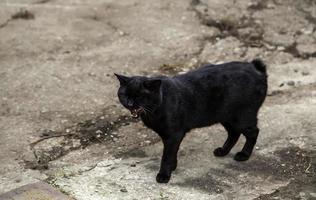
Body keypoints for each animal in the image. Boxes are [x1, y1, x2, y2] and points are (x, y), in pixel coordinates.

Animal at [115, 59, 268, 183]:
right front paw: (173, 167)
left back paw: (244, 155)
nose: (130, 102)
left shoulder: (174, 134)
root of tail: (254, 67)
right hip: (227, 117)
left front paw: (164, 174)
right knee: (234, 133)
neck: (155, 109)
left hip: (242, 117)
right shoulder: (169, 136)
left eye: (140, 96)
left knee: (253, 132)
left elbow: (167, 155)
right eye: (125, 94)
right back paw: (223, 151)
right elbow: (172, 153)